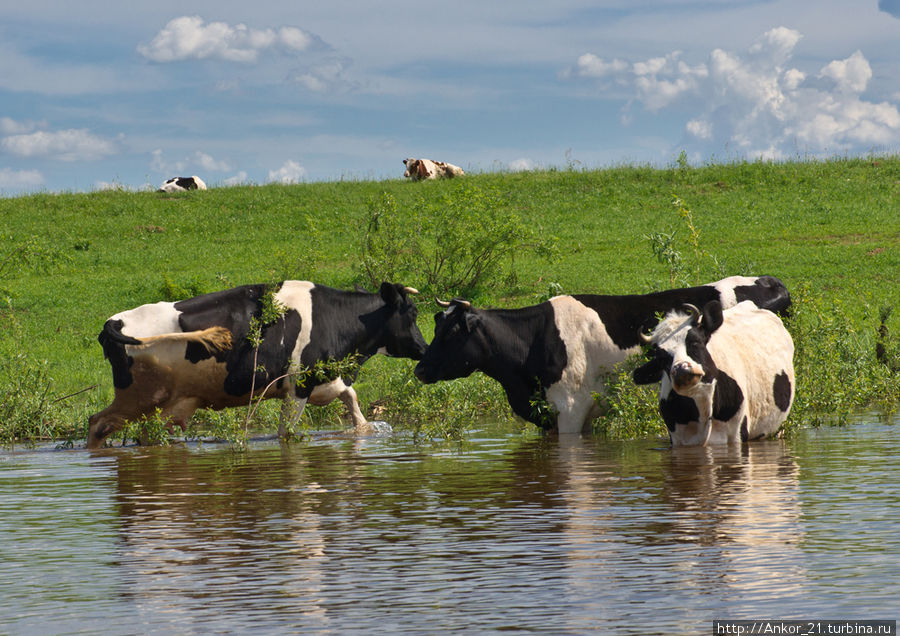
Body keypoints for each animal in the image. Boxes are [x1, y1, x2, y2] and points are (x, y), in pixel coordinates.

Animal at [89, 280, 428, 450]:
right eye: (411, 313)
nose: (425, 349)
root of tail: (114, 321)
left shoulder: (330, 378)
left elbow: (355, 407)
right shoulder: (298, 386)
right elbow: (287, 433)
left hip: (159, 405)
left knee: (143, 434)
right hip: (139, 396)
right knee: (97, 422)